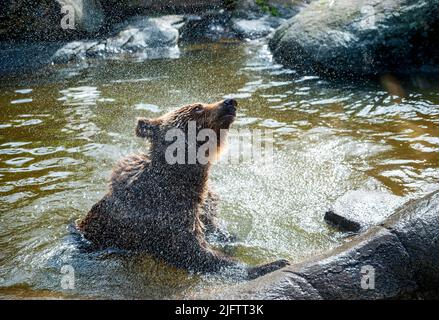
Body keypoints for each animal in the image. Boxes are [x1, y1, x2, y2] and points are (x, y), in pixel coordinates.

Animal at [77, 99, 290, 278]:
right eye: (198, 107)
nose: (231, 102)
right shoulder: (163, 214)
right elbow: (194, 252)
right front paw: (270, 264)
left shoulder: (203, 207)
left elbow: (217, 232)